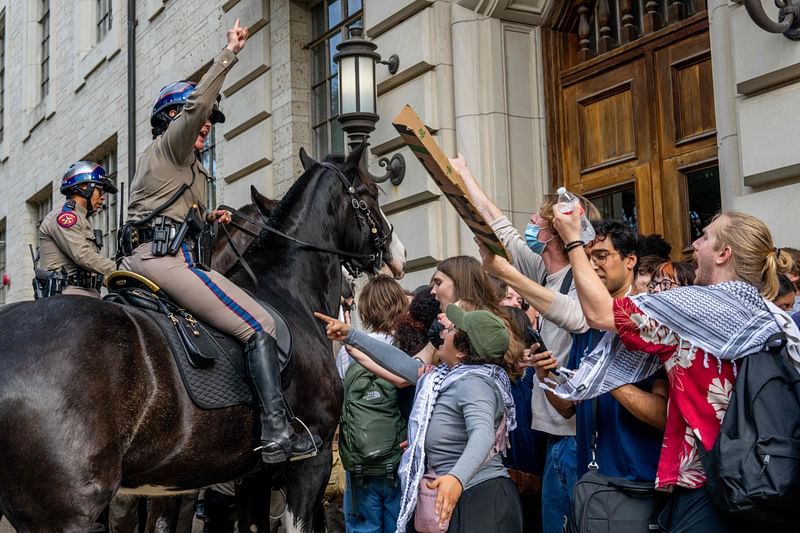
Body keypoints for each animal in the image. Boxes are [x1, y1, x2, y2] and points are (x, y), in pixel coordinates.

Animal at [0, 145, 406, 532]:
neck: (288, 292)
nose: (399, 253)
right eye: (370, 194)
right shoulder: (311, 463)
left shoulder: (251, 478)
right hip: (69, 509)